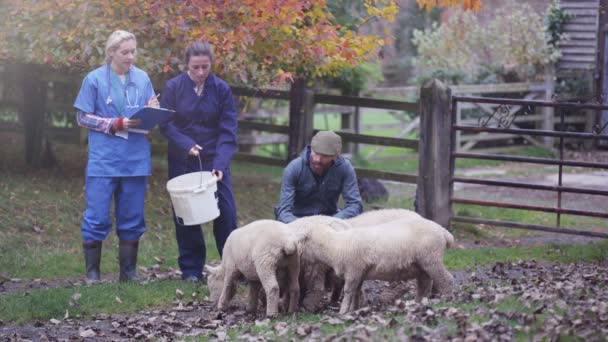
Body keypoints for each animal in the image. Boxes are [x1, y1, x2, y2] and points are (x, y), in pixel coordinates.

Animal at [300, 218, 452, 314]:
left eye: (304, 240)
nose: (300, 254)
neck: (335, 245)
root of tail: (443, 231)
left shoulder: (353, 270)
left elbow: (348, 291)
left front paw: (343, 311)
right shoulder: (359, 273)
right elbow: (356, 292)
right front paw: (354, 309)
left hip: (432, 258)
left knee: (446, 279)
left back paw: (445, 299)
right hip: (422, 265)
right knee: (424, 284)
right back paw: (418, 303)